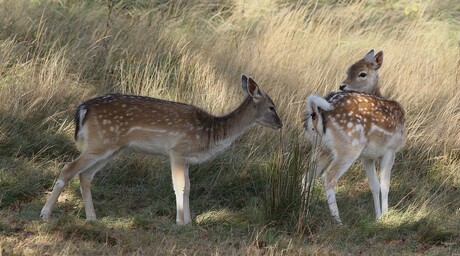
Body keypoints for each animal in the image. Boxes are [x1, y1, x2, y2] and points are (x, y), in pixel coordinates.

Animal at [40, 74, 284, 224]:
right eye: (272, 107)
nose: (280, 124)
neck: (210, 134)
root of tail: (83, 108)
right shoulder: (177, 151)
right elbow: (179, 186)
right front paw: (180, 221)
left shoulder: (186, 158)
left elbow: (189, 187)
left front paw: (189, 222)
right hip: (101, 142)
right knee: (68, 168)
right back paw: (45, 214)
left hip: (111, 147)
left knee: (85, 175)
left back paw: (92, 218)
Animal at [304, 50, 404, 224]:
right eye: (348, 70)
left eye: (362, 73)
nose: (342, 85)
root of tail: (316, 112)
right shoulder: (391, 148)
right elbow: (385, 184)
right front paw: (385, 216)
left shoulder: (367, 156)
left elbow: (374, 185)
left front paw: (377, 217)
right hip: (348, 147)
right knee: (328, 177)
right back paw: (338, 220)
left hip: (320, 148)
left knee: (307, 176)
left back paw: (304, 212)